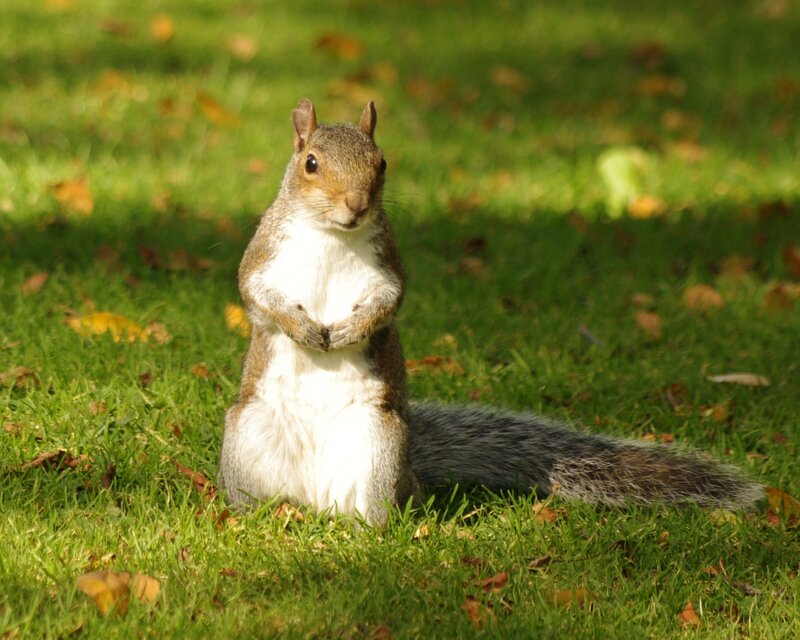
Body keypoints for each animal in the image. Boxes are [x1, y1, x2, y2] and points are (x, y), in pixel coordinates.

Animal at [218, 99, 763, 526]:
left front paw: (350, 330)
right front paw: (306, 330)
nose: (356, 205)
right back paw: (252, 516)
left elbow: (388, 302)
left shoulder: (386, 267)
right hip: (247, 434)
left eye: (383, 162)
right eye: (310, 163)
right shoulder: (265, 254)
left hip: (376, 445)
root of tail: (313, 501)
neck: (333, 234)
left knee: (372, 511)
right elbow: (256, 292)